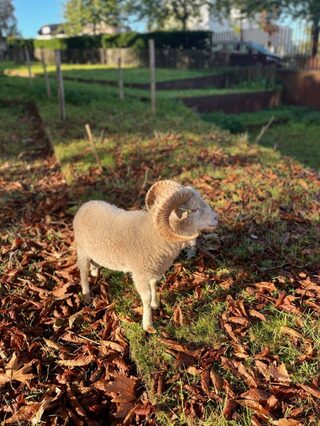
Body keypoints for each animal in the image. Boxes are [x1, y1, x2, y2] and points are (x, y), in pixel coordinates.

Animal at [73, 180, 218, 332]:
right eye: (194, 209)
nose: (216, 218)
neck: (155, 233)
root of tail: (85, 205)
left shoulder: (154, 268)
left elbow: (154, 284)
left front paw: (155, 304)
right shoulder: (140, 274)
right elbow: (146, 297)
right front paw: (148, 325)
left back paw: (95, 272)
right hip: (82, 250)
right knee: (83, 272)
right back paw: (87, 296)